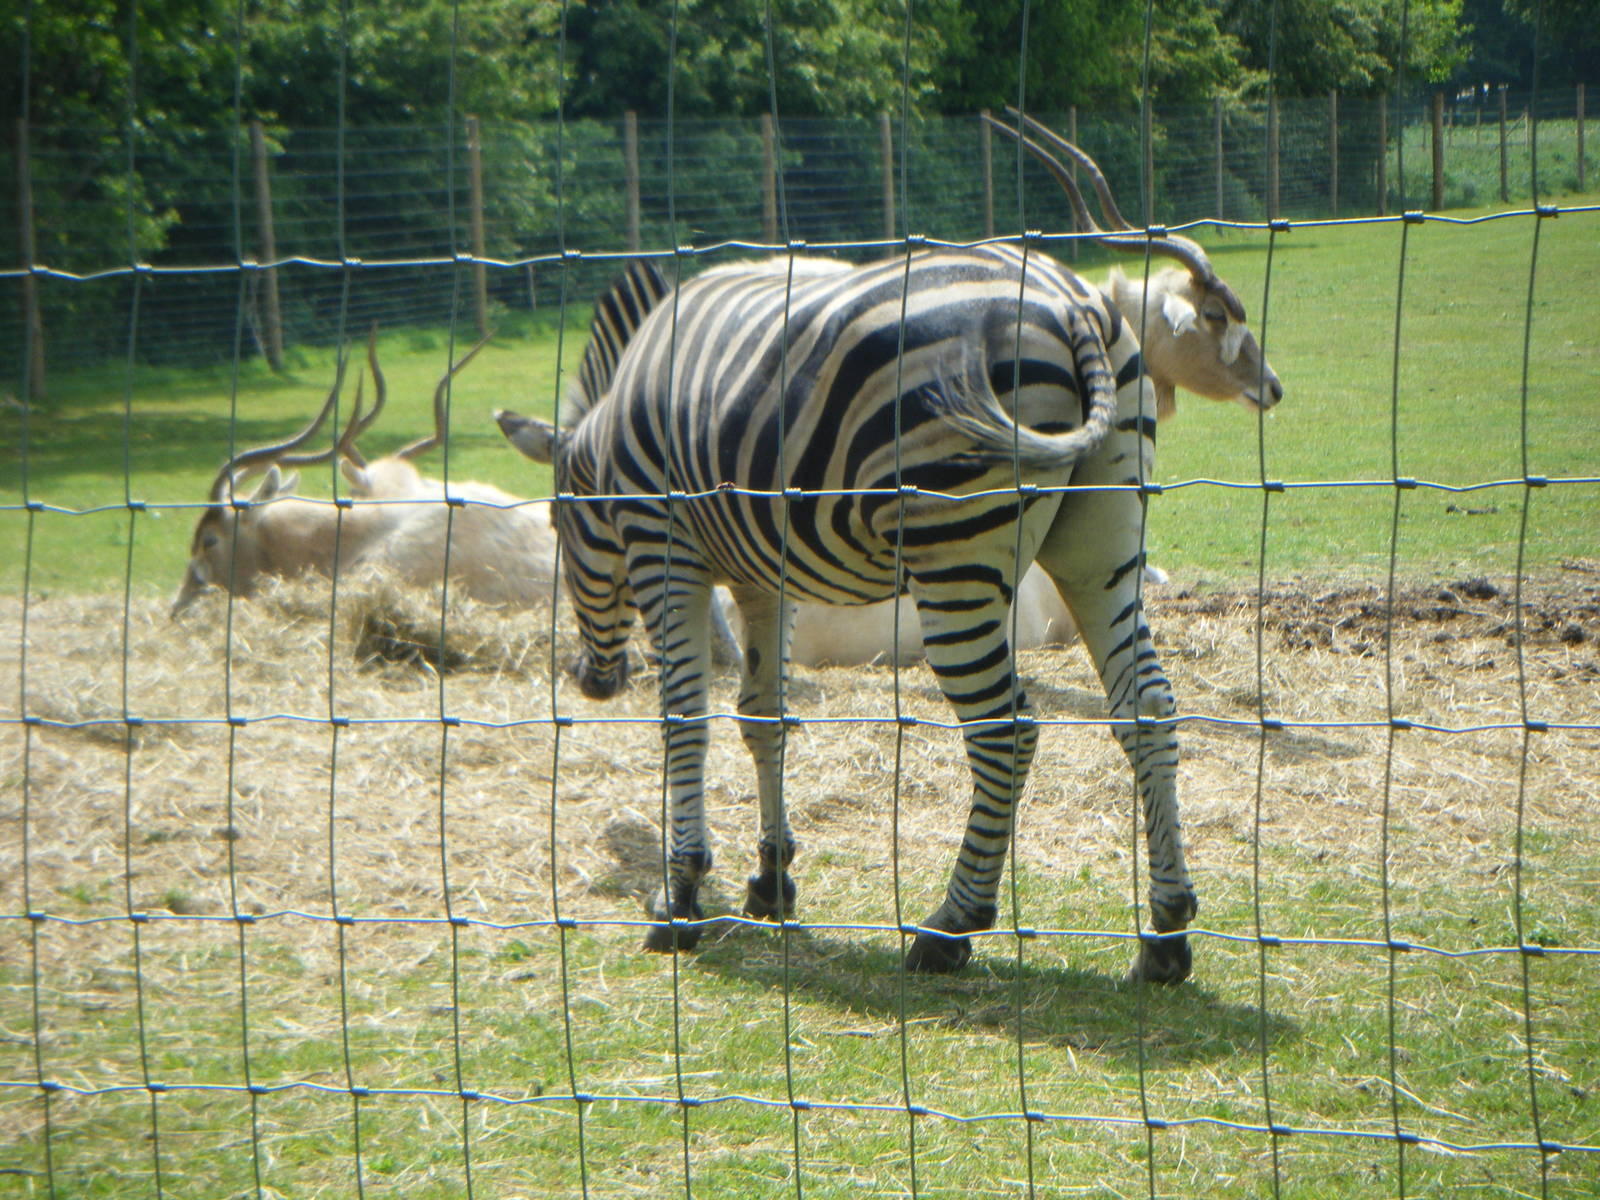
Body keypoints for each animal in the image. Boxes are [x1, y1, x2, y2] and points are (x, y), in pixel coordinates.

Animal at [516, 119, 1280, 982]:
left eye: (558, 526)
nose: (591, 681)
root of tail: (1076, 302)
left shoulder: (662, 551)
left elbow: (687, 717)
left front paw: (680, 896)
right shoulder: (762, 574)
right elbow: (763, 715)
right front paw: (770, 879)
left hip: (955, 557)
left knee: (1007, 730)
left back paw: (950, 926)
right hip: (1101, 540)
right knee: (1147, 706)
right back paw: (1167, 933)